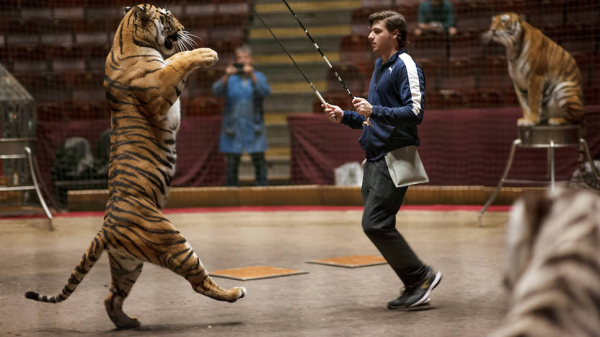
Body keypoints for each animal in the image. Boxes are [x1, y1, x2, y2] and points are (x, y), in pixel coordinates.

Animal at [22, 3, 245, 328]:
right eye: (167, 16)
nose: (183, 28)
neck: (127, 40)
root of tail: (106, 230)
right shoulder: (159, 89)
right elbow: (177, 62)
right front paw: (206, 53)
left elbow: (173, 60)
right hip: (172, 241)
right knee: (199, 282)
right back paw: (234, 292)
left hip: (128, 262)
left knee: (111, 296)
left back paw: (129, 322)